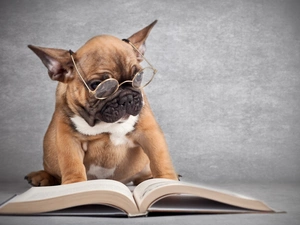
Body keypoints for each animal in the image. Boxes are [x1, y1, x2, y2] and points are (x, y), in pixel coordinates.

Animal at [25, 20, 178, 186]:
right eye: (97, 85)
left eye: (139, 76)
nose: (127, 97)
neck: (104, 124)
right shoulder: (69, 140)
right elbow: (72, 164)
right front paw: (75, 186)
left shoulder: (149, 132)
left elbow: (160, 159)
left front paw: (167, 182)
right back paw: (42, 176)